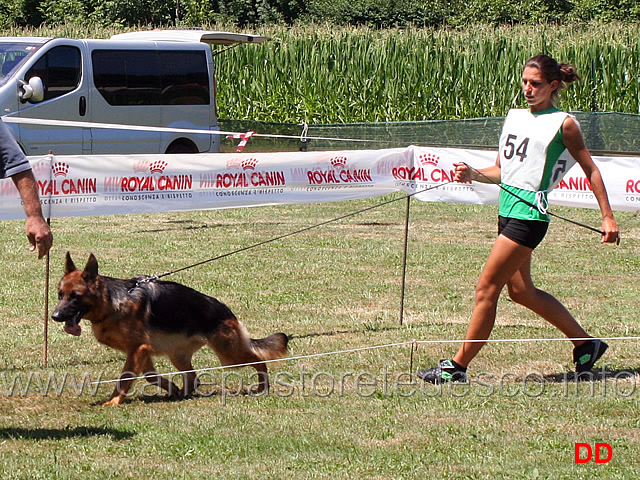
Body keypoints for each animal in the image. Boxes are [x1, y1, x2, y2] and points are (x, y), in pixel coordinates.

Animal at [51, 251, 288, 404]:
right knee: (193, 378)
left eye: (75, 296)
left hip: (229, 355)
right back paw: (183, 394)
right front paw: (171, 389)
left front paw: (113, 401)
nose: (55, 316)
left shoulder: (137, 349)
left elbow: (125, 377)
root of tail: (225, 310)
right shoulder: (141, 351)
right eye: (60, 295)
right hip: (179, 356)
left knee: (259, 360)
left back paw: (263, 387)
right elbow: (150, 377)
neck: (111, 303)